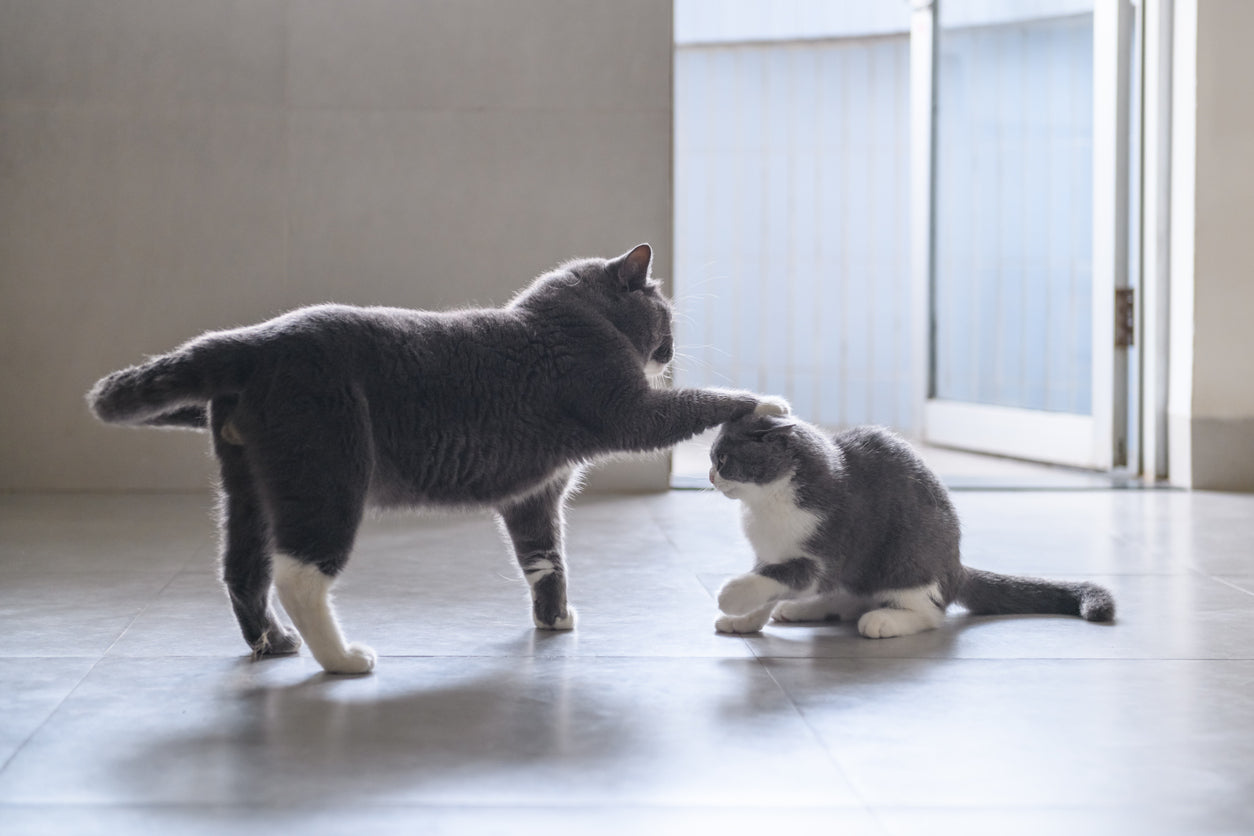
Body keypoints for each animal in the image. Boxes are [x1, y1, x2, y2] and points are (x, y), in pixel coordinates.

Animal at [88, 245, 782, 676]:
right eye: (663, 314)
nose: (669, 351)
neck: (569, 319)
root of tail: (253, 342)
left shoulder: (534, 494)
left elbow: (544, 558)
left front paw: (555, 620)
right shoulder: (622, 407)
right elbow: (687, 406)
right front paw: (765, 399)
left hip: (251, 485)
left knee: (242, 569)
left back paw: (275, 644)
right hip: (326, 473)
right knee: (299, 574)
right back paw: (343, 660)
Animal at [707, 411, 1118, 634]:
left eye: (723, 459)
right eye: (712, 457)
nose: (710, 476)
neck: (764, 504)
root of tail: (956, 568)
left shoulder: (827, 549)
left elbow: (782, 577)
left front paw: (730, 596)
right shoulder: (770, 554)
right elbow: (768, 581)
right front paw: (745, 619)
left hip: (908, 556)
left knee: (930, 611)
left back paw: (884, 621)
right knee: (850, 596)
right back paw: (806, 609)